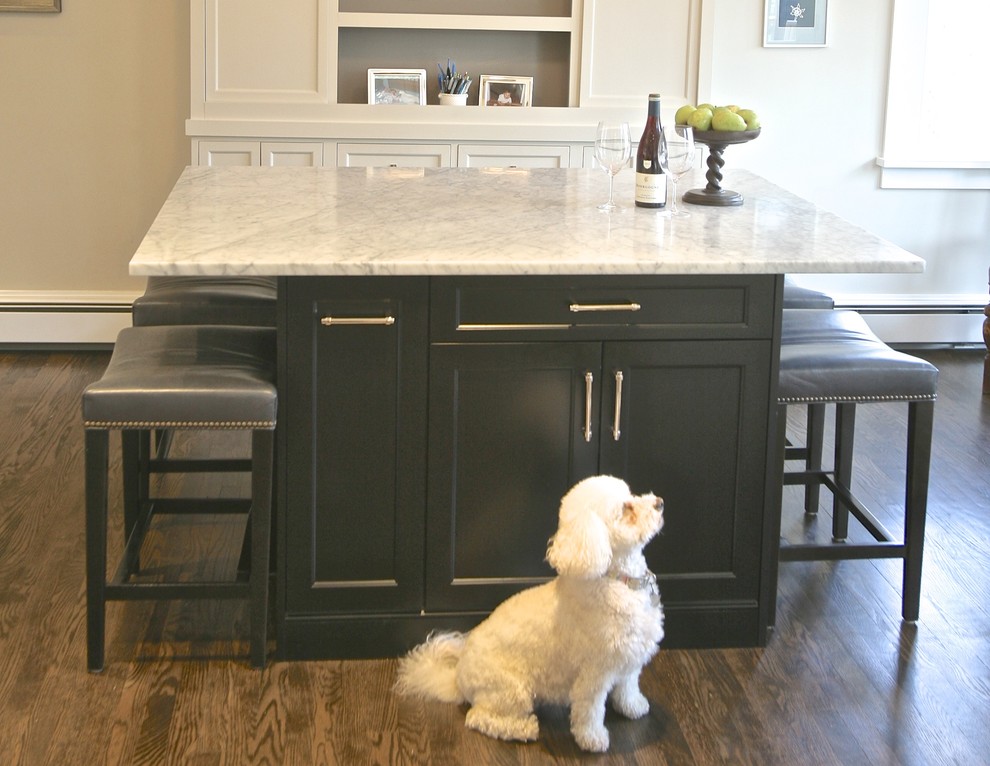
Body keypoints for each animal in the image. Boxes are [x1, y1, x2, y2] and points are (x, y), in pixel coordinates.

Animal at [396, 476, 668, 752]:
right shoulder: (594, 674)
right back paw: (523, 728)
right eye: (626, 509)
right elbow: (589, 711)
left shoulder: (630, 656)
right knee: (479, 718)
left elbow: (628, 686)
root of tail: (458, 678)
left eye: (631, 495)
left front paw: (634, 707)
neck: (618, 580)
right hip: (511, 691)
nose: (659, 502)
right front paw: (593, 739)